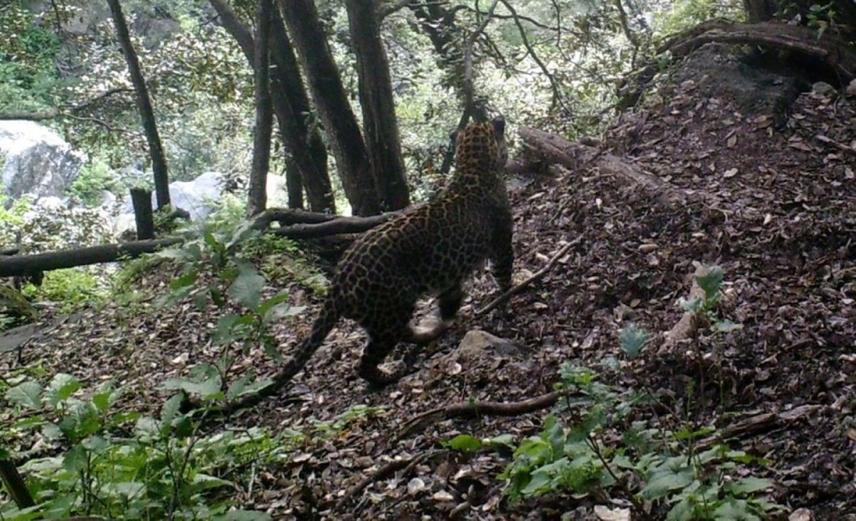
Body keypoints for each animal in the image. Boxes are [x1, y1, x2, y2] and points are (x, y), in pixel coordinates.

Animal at [278, 117, 513, 386]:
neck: (473, 167)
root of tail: (337, 283)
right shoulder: (501, 243)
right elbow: (503, 272)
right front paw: (509, 292)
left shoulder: (450, 275)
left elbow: (450, 297)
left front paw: (449, 315)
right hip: (388, 315)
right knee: (365, 362)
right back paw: (390, 374)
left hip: (388, 313)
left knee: (403, 334)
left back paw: (427, 334)